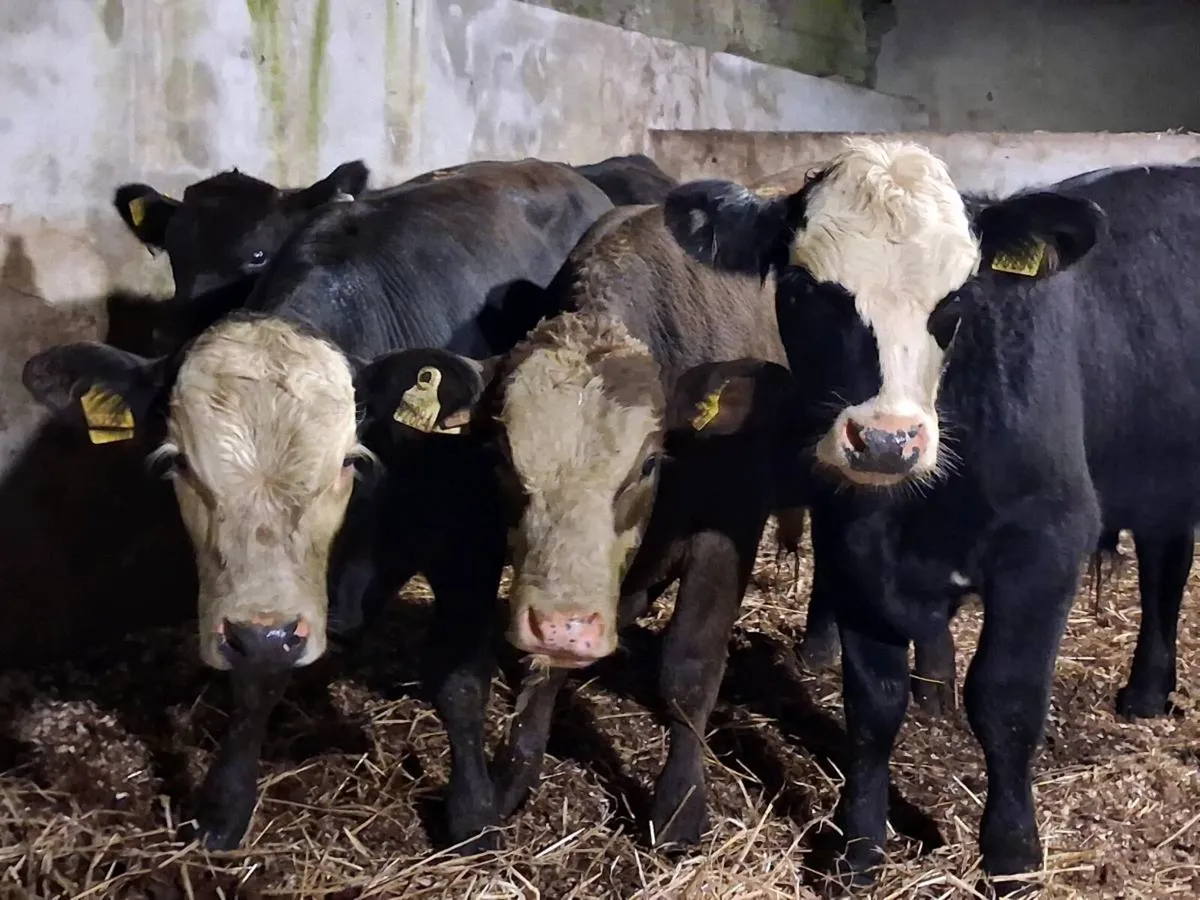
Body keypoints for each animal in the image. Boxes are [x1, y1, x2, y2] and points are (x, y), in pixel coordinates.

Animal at [22, 159, 614, 853]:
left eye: (347, 462)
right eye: (178, 465)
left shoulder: (469, 542)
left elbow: (460, 681)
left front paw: (473, 814)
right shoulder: (261, 597)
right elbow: (256, 677)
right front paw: (225, 808)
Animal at [358, 201, 802, 851]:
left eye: (648, 462)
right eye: (500, 454)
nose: (564, 626)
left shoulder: (730, 525)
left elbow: (690, 668)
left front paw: (679, 808)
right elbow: (506, 671)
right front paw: (500, 789)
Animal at [662, 140, 1200, 892]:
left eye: (961, 299)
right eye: (802, 289)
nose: (887, 440)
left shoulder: (1045, 544)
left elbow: (1005, 700)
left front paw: (1010, 856)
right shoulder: (853, 548)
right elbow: (873, 705)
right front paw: (858, 849)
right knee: (1165, 559)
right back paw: (1149, 691)